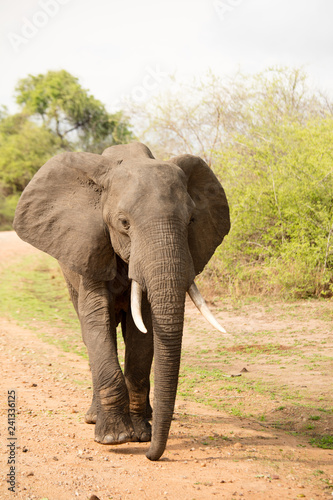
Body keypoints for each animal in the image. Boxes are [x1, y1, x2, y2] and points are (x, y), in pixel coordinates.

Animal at [13, 141, 231, 460]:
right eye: (123, 223)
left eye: (191, 220)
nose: (152, 454)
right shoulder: (90, 245)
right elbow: (95, 321)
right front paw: (114, 438)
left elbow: (145, 332)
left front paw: (141, 435)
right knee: (90, 332)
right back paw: (95, 417)